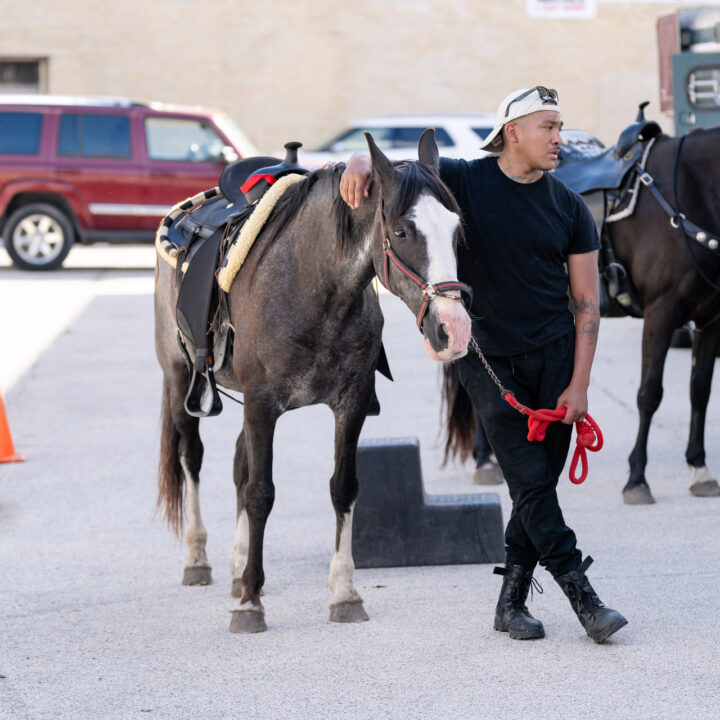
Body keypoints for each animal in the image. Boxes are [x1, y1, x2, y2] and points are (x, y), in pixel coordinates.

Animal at [153, 132, 472, 632]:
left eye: (457, 231)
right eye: (402, 231)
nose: (453, 330)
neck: (313, 287)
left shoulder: (350, 403)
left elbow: (342, 487)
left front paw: (344, 593)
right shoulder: (263, 404)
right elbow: (260, 492)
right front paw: (251, 603)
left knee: (239, 463)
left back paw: (236, 567)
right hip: (179, 377)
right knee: (193, 459)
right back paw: (199, 559)